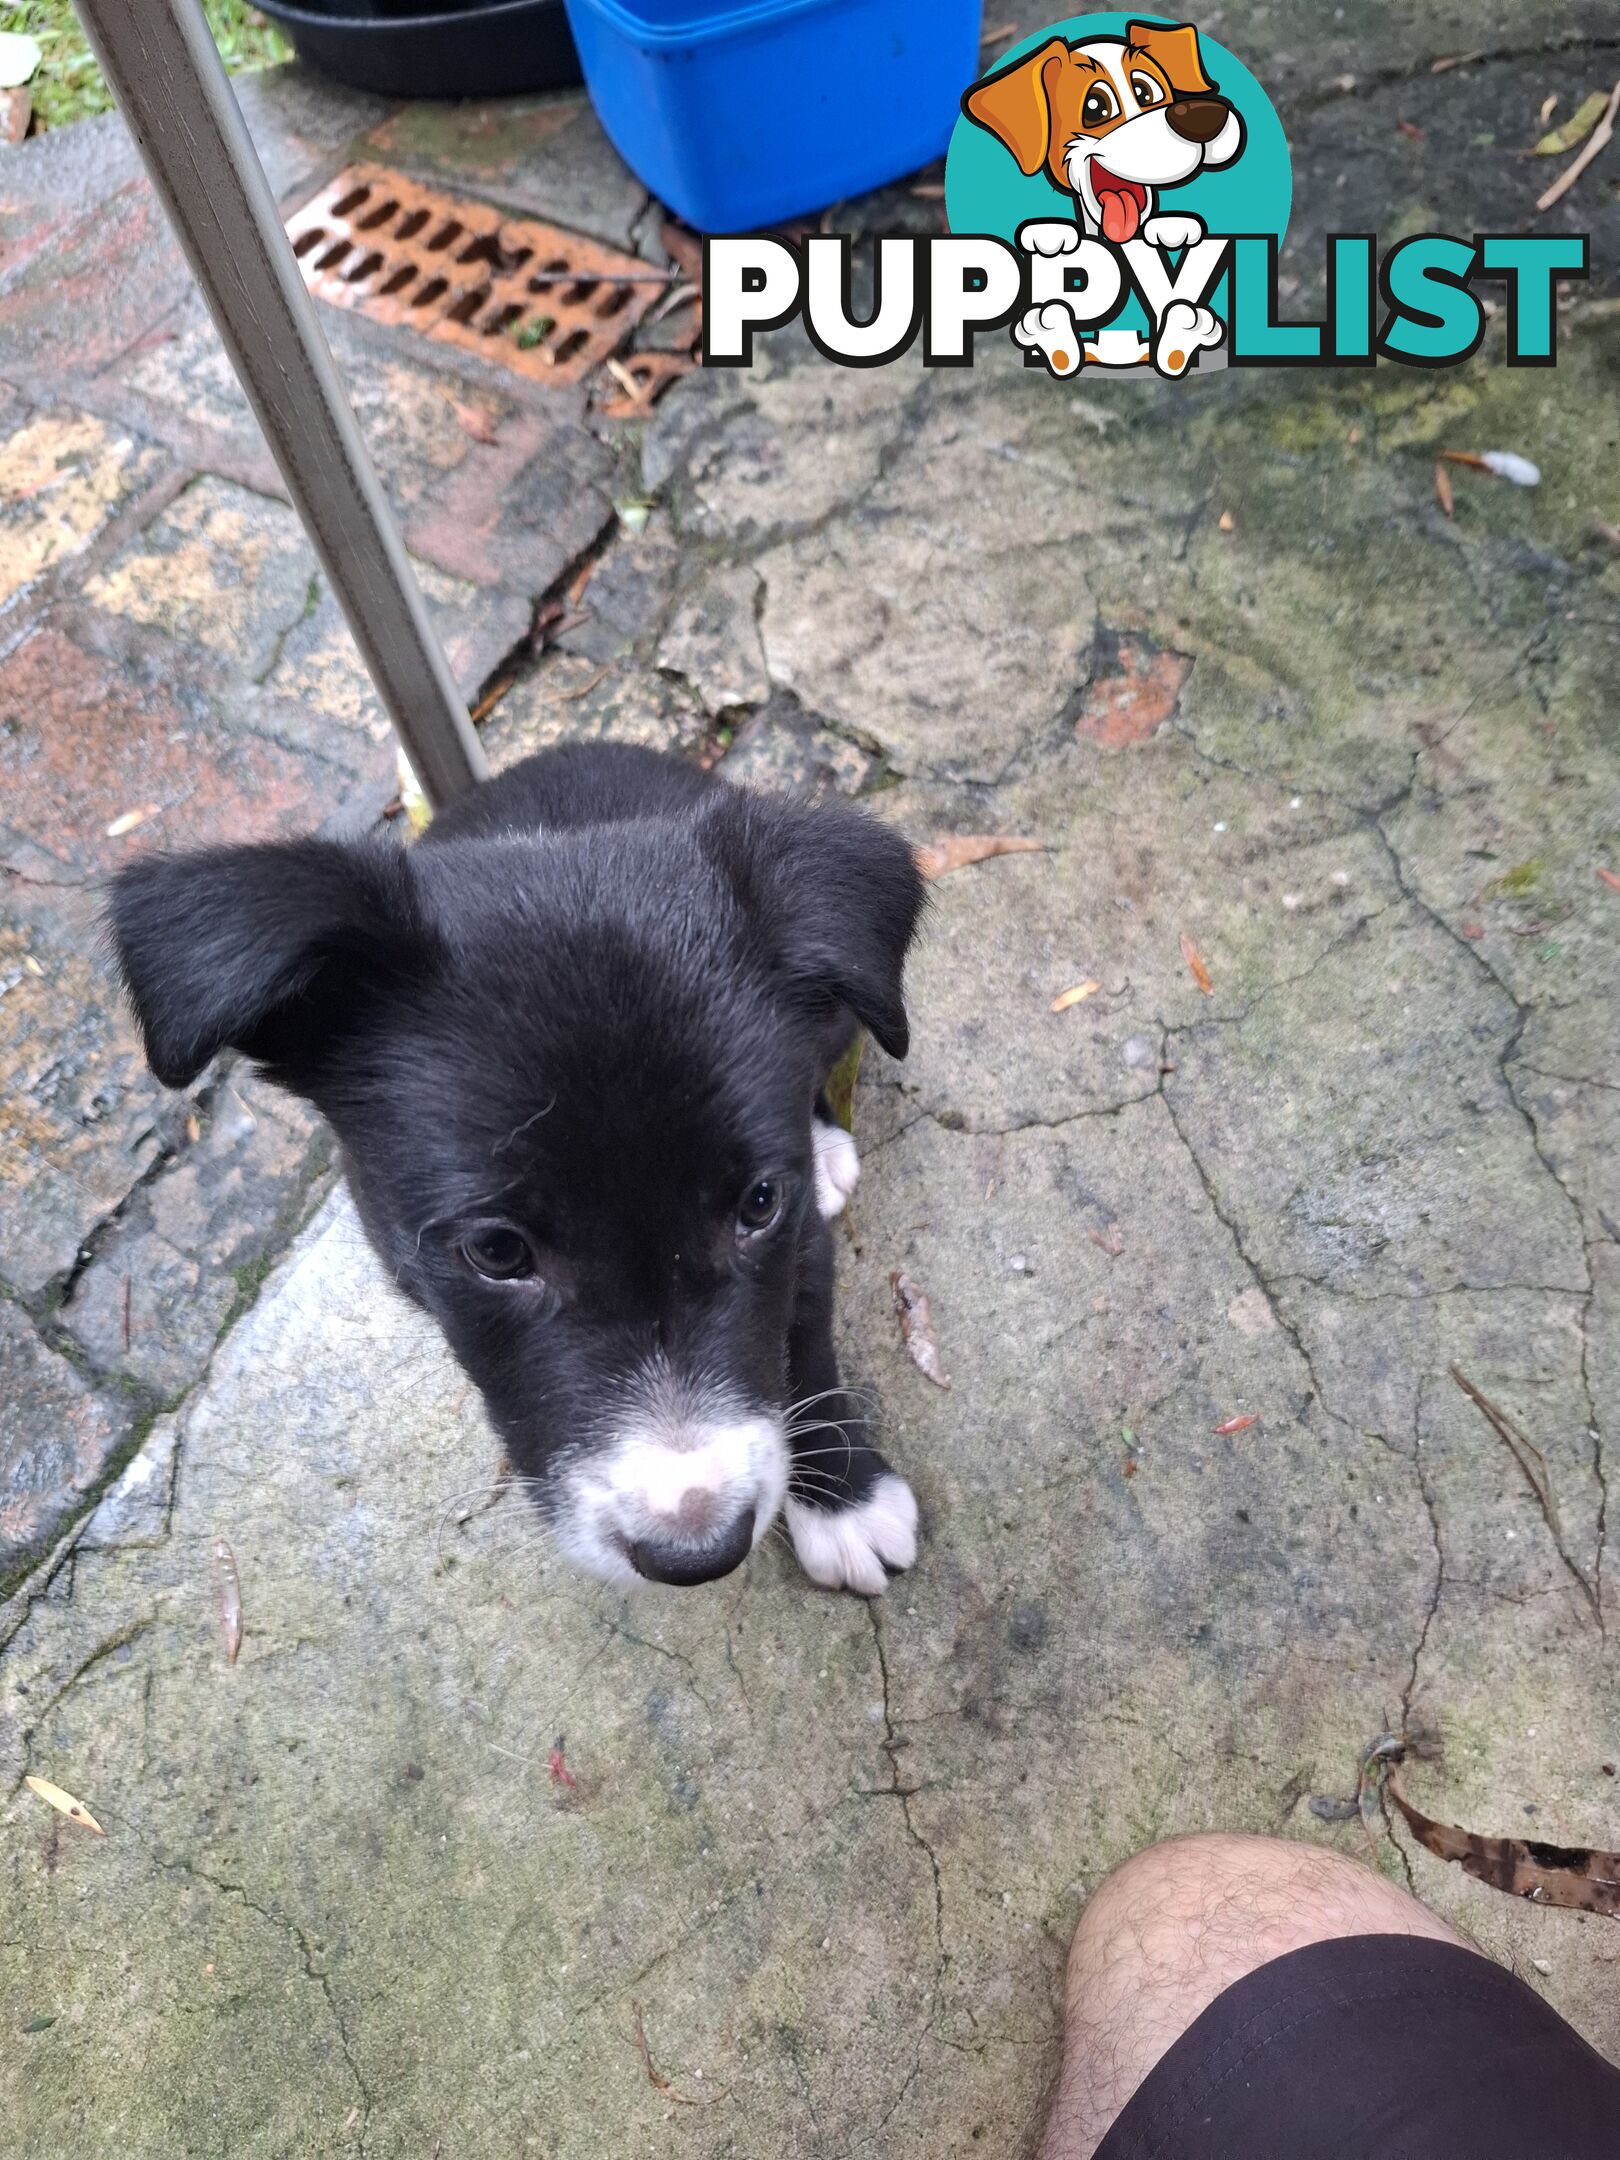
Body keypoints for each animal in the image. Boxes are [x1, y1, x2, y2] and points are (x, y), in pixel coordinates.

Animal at [104, 751, 924, 1598]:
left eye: (758, 1205)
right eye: (496, 1252)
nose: (698, 1555)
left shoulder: (799, 1241)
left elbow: (807, 1346)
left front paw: (844, 1500)